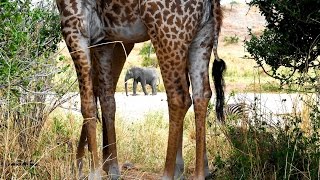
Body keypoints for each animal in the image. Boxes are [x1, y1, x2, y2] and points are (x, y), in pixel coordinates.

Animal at [55, 0, 225, 179]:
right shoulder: (104, 40)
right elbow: (107, 99)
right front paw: (112, 169)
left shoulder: (73, 23)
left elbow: (87, 104)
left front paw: (92, 172)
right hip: (202, 38)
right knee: (202, 94)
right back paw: (199, 173)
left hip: (167, 33)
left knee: (180, 98)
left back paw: (168, 174)